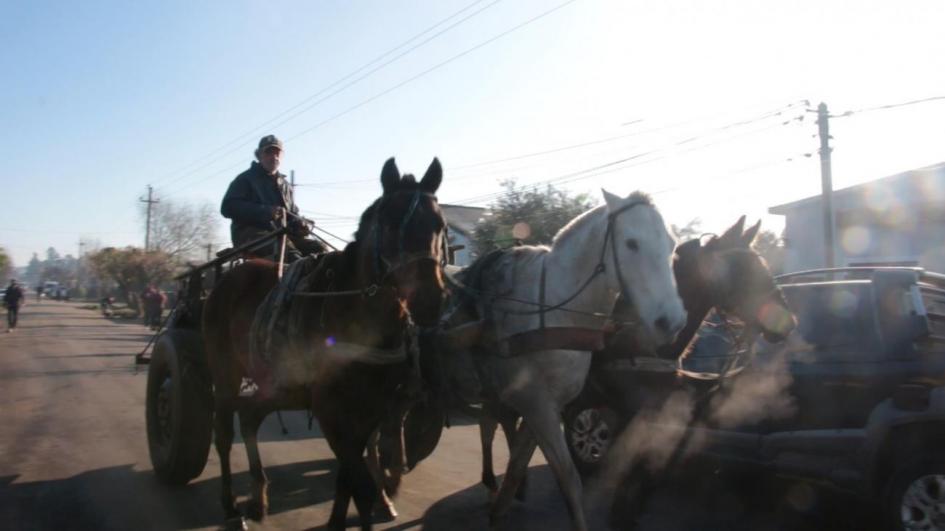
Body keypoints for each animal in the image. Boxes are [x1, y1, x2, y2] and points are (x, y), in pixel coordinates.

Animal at [203, 158, 446, 531]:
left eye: (439, 225)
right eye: (389, 224)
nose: (431, 301)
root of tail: (228, 275)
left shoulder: (372, 408)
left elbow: (349, 478)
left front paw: (345, 517)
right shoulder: (329, 409)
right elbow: (359, 484)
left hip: (274, 384)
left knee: (250, 417)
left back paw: (258, 497)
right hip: (225, 374)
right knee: (224, 434)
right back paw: (230, 506)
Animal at [454, 189, 684, 528]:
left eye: (672, 244)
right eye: (631, 243)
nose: (672, 322)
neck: (552, 311)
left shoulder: (543, 405)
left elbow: (517, 464)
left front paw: (501, 507)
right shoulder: (537, 405)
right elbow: (568, 478)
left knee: (487, 424)